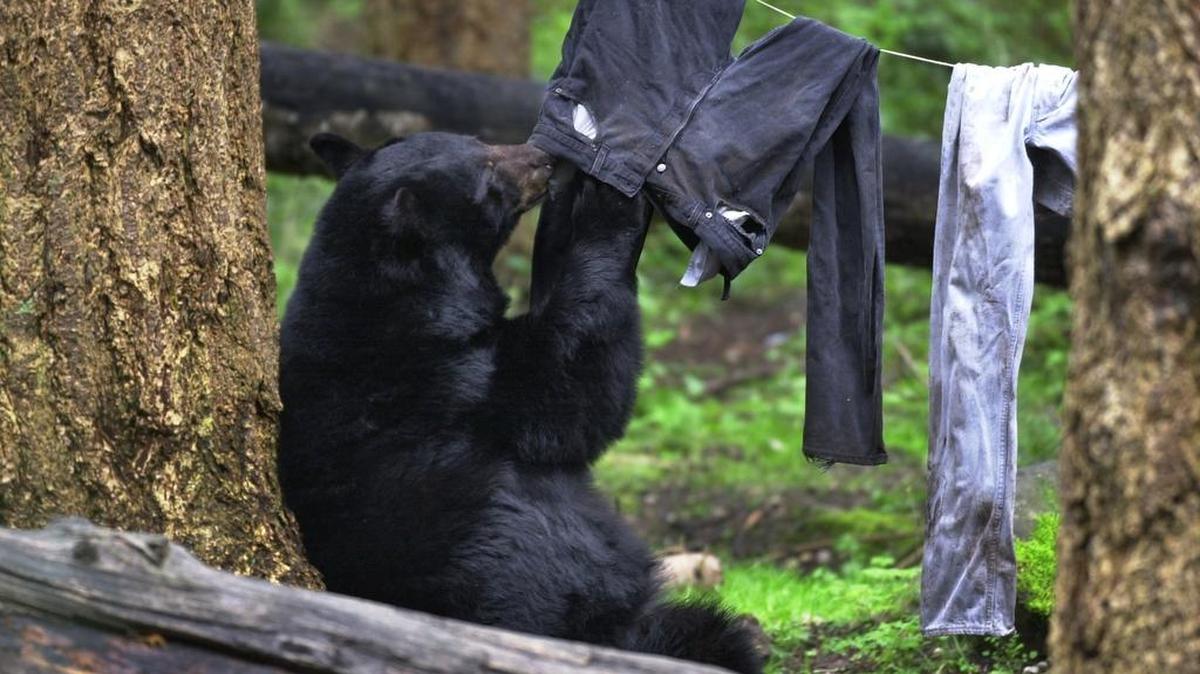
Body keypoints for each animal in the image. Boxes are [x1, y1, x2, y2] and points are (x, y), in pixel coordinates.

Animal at [278, 131, 762, 674]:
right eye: (488, 173)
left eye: (477, 140)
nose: (542, 158)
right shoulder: (460, 378)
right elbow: (568, 395)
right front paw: (611, 201)